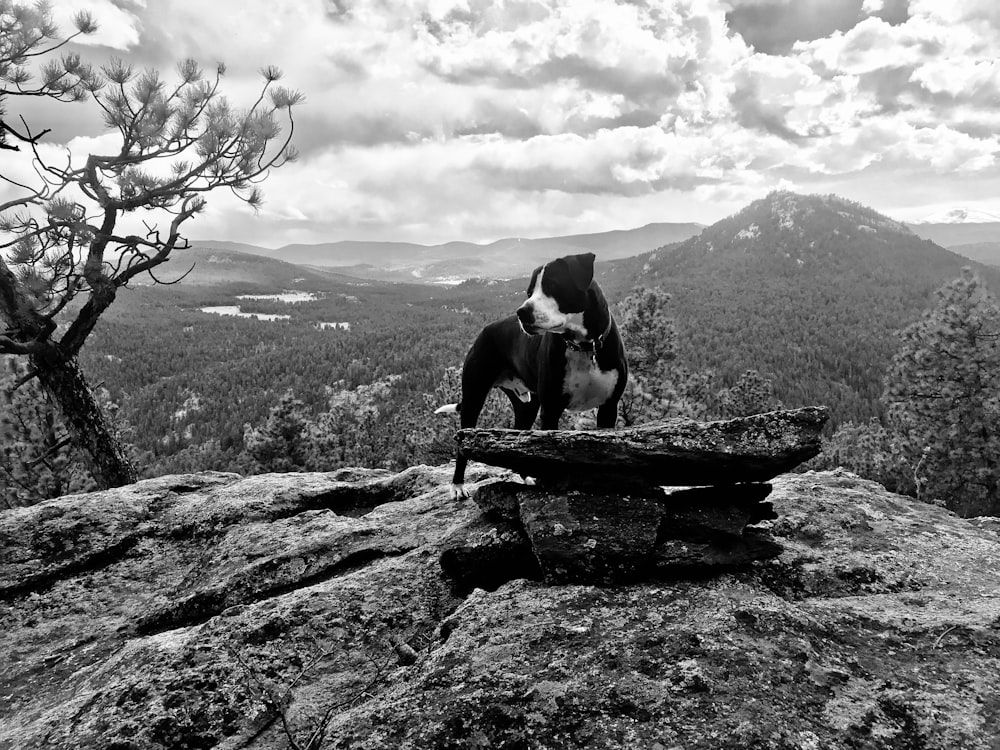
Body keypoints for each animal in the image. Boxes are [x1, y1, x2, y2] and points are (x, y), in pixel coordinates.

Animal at [436, 251, 628, 500]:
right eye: (529, 292)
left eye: (553, 285)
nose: (522, 311)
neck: (583, 346)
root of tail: (486, 330)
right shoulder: (551, 410)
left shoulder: (609, 407)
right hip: (473, 396)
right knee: (463, 443)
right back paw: (458, 485)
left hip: (526, 405)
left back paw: (526, 475)